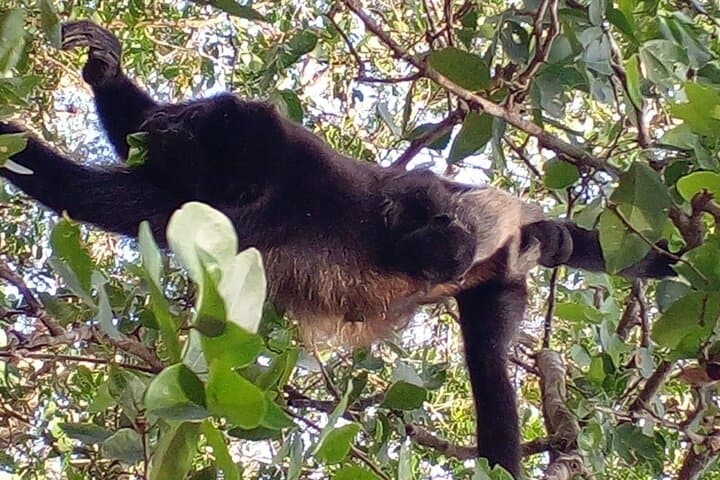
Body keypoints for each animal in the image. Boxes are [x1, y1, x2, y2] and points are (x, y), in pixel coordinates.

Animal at [0, 21, 675, 478]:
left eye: (190, 125)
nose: (164, 123)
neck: (273, 182)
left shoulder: (243, 199)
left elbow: (85, 194)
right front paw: (106, 70)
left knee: (472, 304)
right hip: (498, 284)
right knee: (486, 346)